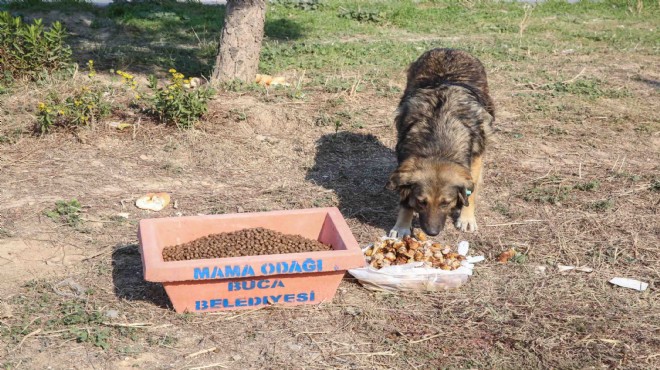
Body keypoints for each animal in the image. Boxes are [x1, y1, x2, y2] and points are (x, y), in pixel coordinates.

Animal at [386, 47, 496, 237]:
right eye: (421, 202)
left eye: (446, 203)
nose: (432, 233)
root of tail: (450, 49)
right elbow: (405, 198)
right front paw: (402, 226)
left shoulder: (475, 158)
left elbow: (471, 191)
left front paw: (466, 218)